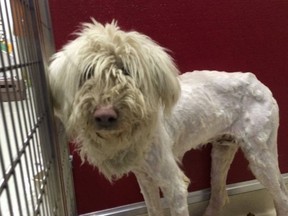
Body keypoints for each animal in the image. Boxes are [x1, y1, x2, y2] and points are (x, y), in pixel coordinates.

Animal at [47, 19, 288, 215]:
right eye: (87, 74)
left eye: (127, 71)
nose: (104, 116)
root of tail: (257, 81)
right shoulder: (144, 179)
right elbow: (153, 209)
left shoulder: (175, 186)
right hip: (222, 151)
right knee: (220, 196)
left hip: (260, 156)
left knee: (281, 196)